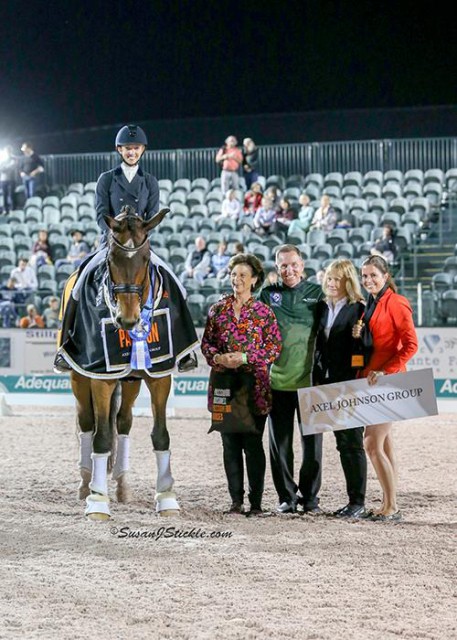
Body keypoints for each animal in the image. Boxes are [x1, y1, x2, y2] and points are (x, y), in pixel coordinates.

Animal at [61, 205, 195, 520]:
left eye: (145, 259)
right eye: (111, 259)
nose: (128, 320)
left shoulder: (160, 376)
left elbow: (161, 435)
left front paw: (167, 498)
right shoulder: (102, 378)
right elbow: (100, 438)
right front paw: (98, 502)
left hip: (132, 381)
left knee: (123, 423)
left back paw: (122, 485)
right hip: (79, 378)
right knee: (87, 423)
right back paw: (85, 484)